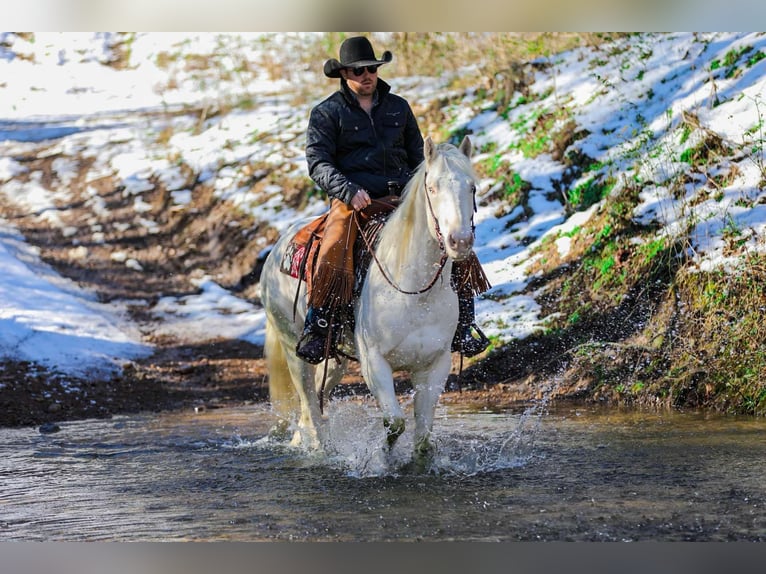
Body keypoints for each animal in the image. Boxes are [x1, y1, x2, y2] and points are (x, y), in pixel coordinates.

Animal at [259, 135, 480, 468]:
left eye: (472, 187)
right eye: (432, 187)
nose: (460, 242)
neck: (415, 291)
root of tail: (276, 250)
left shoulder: (435, 364)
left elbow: (423, 436)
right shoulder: (374, 362)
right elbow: (395, 423)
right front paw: (379, 460)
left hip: (335, 359)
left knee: (313, 405)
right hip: (293, 348)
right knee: (310, 406)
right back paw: (319, 451)